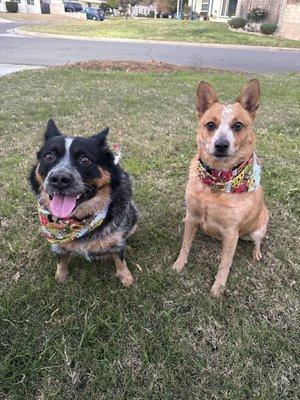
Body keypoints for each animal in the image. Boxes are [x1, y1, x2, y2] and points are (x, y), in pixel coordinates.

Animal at [29, 120, 138, 286]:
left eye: (85, 160)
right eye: (49, 156)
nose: (59, 179)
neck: (78, 220)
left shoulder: (117, 242)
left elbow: (120, 259)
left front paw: (126, 278)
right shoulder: (57, 243)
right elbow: (61, 260)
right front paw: (60, 277)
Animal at [172, 79, 268, 296]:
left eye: (238, 125)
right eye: (210, 125)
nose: (221, 145)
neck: (217, 180)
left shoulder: (231, 233)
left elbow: (225, 264)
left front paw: (218, 287)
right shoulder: (193, 216)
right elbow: (185, 245)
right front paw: (179, 265)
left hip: (257, 229)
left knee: (258, 240)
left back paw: (256, 252)